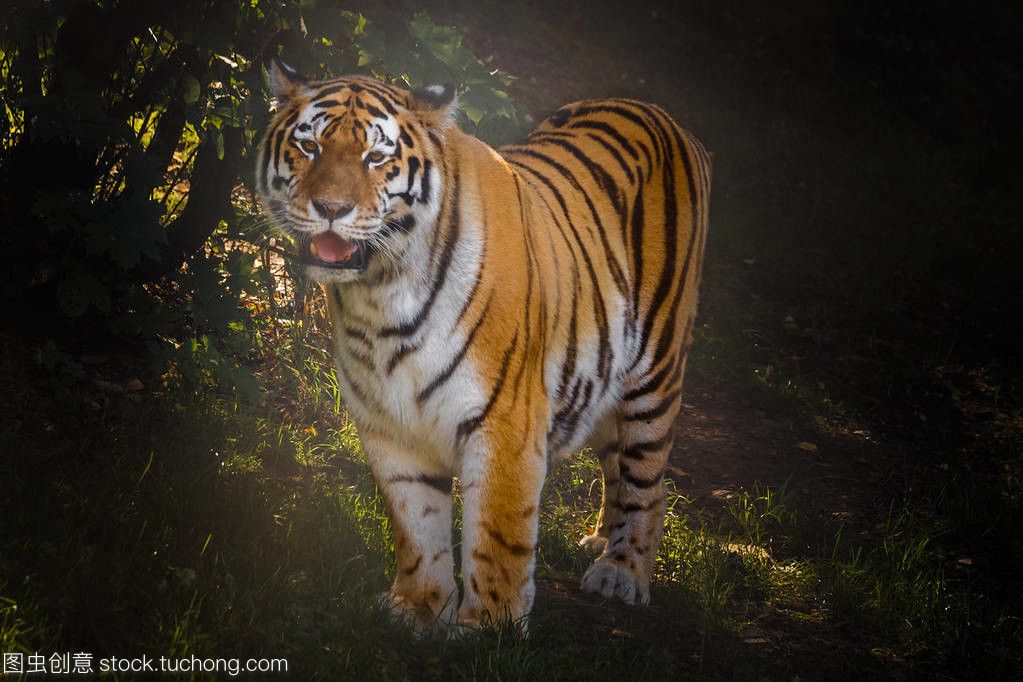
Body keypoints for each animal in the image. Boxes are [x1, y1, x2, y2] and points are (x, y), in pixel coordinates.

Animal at [255, 58, 712, 633]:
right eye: (310, 146)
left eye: (376, 157)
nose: (331, 207)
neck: (379, 297)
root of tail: (660, 113)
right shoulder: (388, 425)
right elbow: (417, 526)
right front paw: (419, 610)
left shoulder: (505, 421)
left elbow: (498, 533)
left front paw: (490, 628)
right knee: (617, 465)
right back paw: (599, 540)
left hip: (653, 374)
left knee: (647, 479)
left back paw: (622, 572)